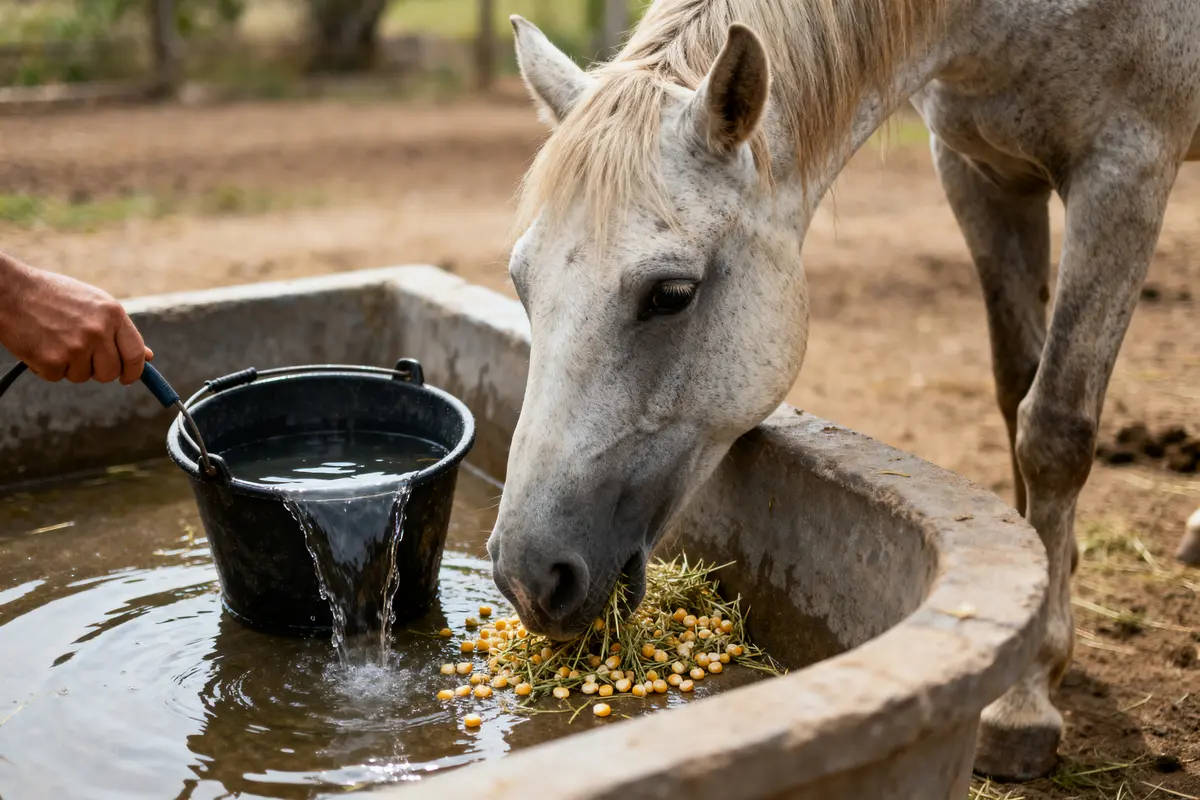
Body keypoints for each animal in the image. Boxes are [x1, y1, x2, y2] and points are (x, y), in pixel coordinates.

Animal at [485, 0, 1200, 782]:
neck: (996, 24)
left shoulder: (1126, 169)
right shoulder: (980, 171)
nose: (529, 576)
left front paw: (1025, 697)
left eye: (671, 294)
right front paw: (1048, 585)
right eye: (521, 280)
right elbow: (1017, 384)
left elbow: (1054, 429)